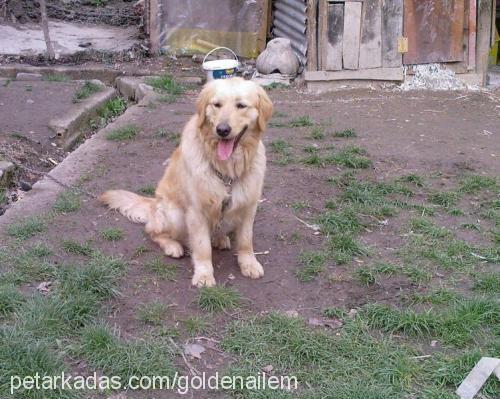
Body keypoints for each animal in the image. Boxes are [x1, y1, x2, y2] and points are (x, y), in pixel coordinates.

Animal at [100, 77, 274, 288]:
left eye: (241, 105)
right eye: (217, 105)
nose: (222, 130)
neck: (227, 170)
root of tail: (153, 204)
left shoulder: (248, 206)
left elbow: (246, 240)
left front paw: (249, 263)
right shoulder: (196, 211)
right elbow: (202, 247)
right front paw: (204, 275)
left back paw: (220, 238)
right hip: (175, 215)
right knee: (152, 231)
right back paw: (172, 246)